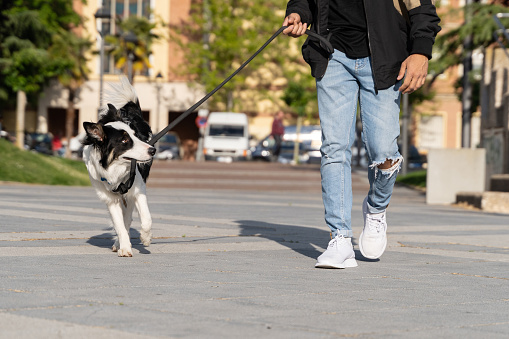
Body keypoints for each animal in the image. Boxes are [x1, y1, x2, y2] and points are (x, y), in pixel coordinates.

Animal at [83, 77, 157, 258]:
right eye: (124, 141)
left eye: (136, 136)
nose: (152, 150)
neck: (115, 170)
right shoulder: (110, 199)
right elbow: (119, 225)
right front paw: (124, 247)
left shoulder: (138, 189)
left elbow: (146, 218)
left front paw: (146, 238)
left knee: (129, 217)